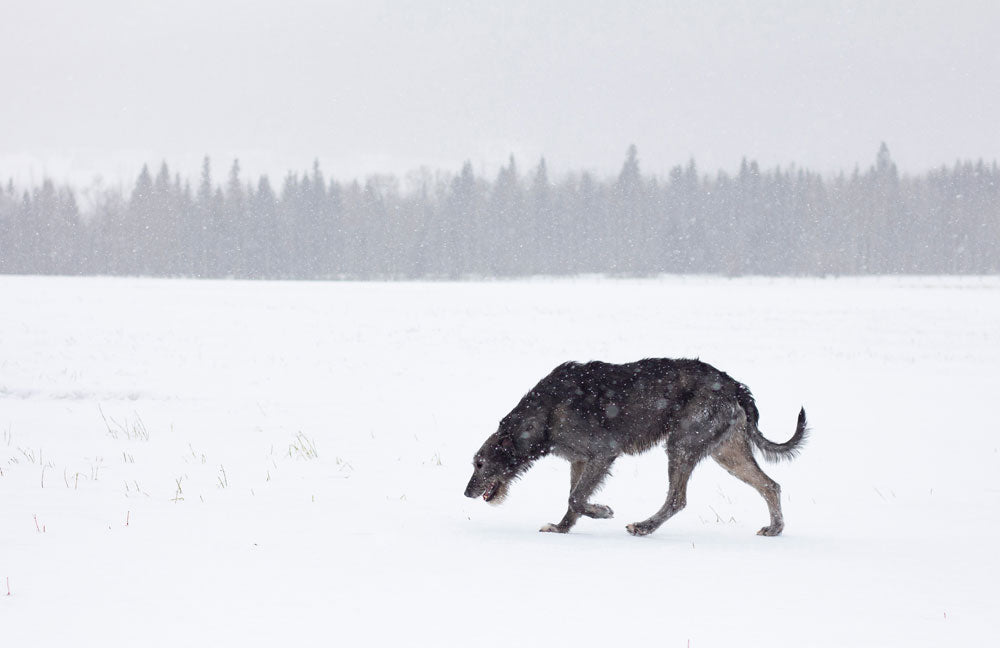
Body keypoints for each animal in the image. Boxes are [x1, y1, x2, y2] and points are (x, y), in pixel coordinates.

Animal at [464, 360, 808, 536]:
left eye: (479, 463)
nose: (466, 493)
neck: (544, 412)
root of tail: (734, 386)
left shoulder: (602, 453)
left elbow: (576, 497)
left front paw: (601, 512)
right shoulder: (579, 460)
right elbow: (573, 499)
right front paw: (562, 528)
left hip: (683, 443)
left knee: (677, 499)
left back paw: (644, 526)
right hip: (727, 451)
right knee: (770, 485)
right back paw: (775, 528)